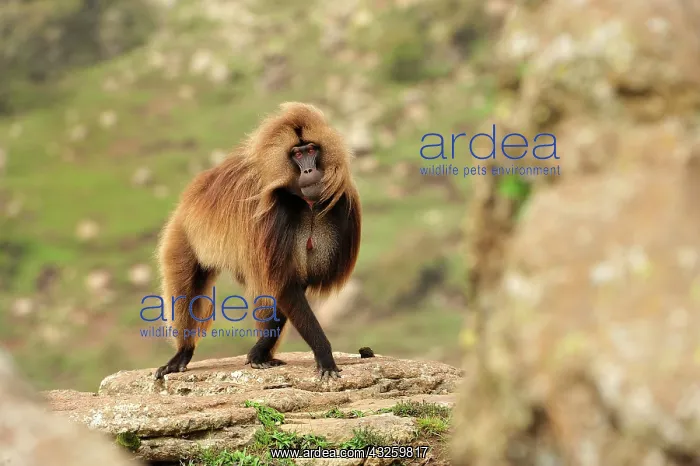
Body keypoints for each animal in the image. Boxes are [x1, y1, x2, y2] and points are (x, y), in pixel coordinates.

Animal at [153, 102, 362, 381]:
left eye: (311, 150)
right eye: (296, 154)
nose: (309, 171)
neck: (305, 203)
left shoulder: (338, 207)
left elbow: (289, 285)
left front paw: (259, 353)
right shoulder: (275, 216)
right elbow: (284, 285)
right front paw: (324, 355)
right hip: (182, 235)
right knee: (186, 290)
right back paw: (182, 353)